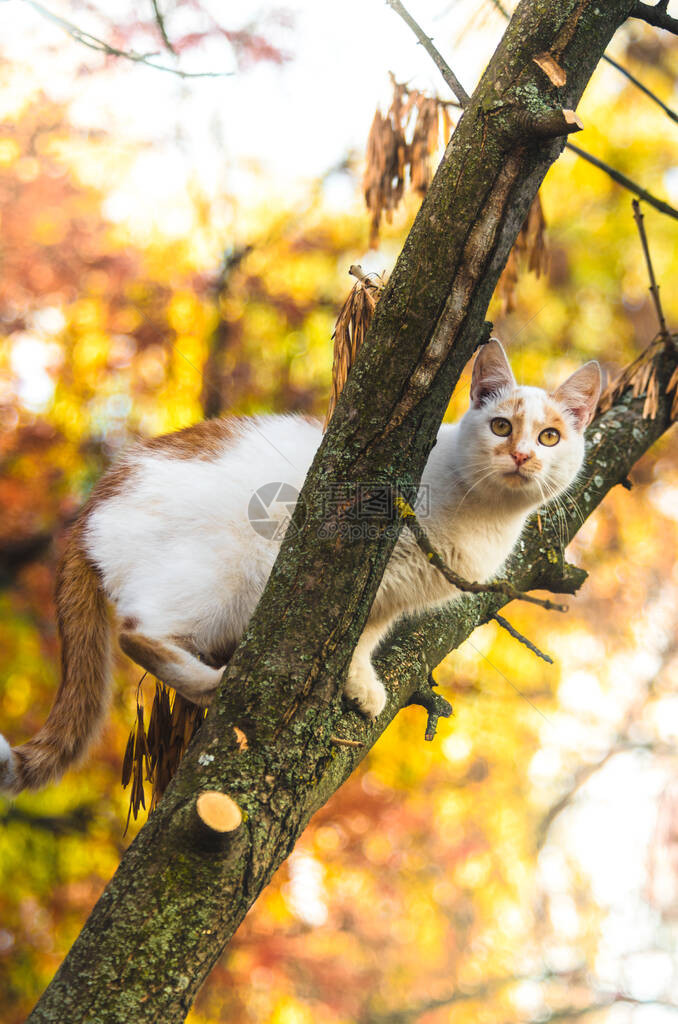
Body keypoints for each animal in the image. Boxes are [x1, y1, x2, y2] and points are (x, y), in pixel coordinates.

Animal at [1, 339, 602, 794]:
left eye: (549, 436)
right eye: (500, 426)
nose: (522, 455)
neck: (484, 515)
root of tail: (90, 508)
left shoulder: (391, 594)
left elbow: (366, 634)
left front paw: (360, 682)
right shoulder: (361, 566)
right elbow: (349, 627)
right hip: (220, 576)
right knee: (136, 633)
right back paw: (211, 685)